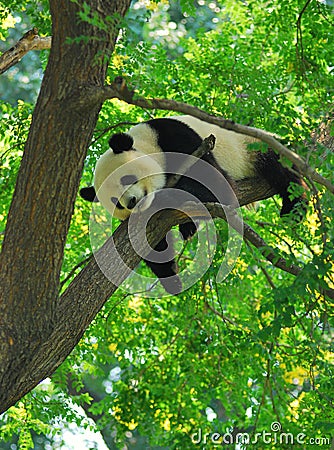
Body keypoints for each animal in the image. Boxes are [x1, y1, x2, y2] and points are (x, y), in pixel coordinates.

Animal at [79, 114, 306, 294]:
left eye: (127, 179)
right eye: (116, 203)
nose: (133, 202)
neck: (147, 143)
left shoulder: (176, 137)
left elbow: (215, 184)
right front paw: (172, 278)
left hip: (251, 145)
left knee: (281, 169)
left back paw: (293, 209)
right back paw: (188, 228)